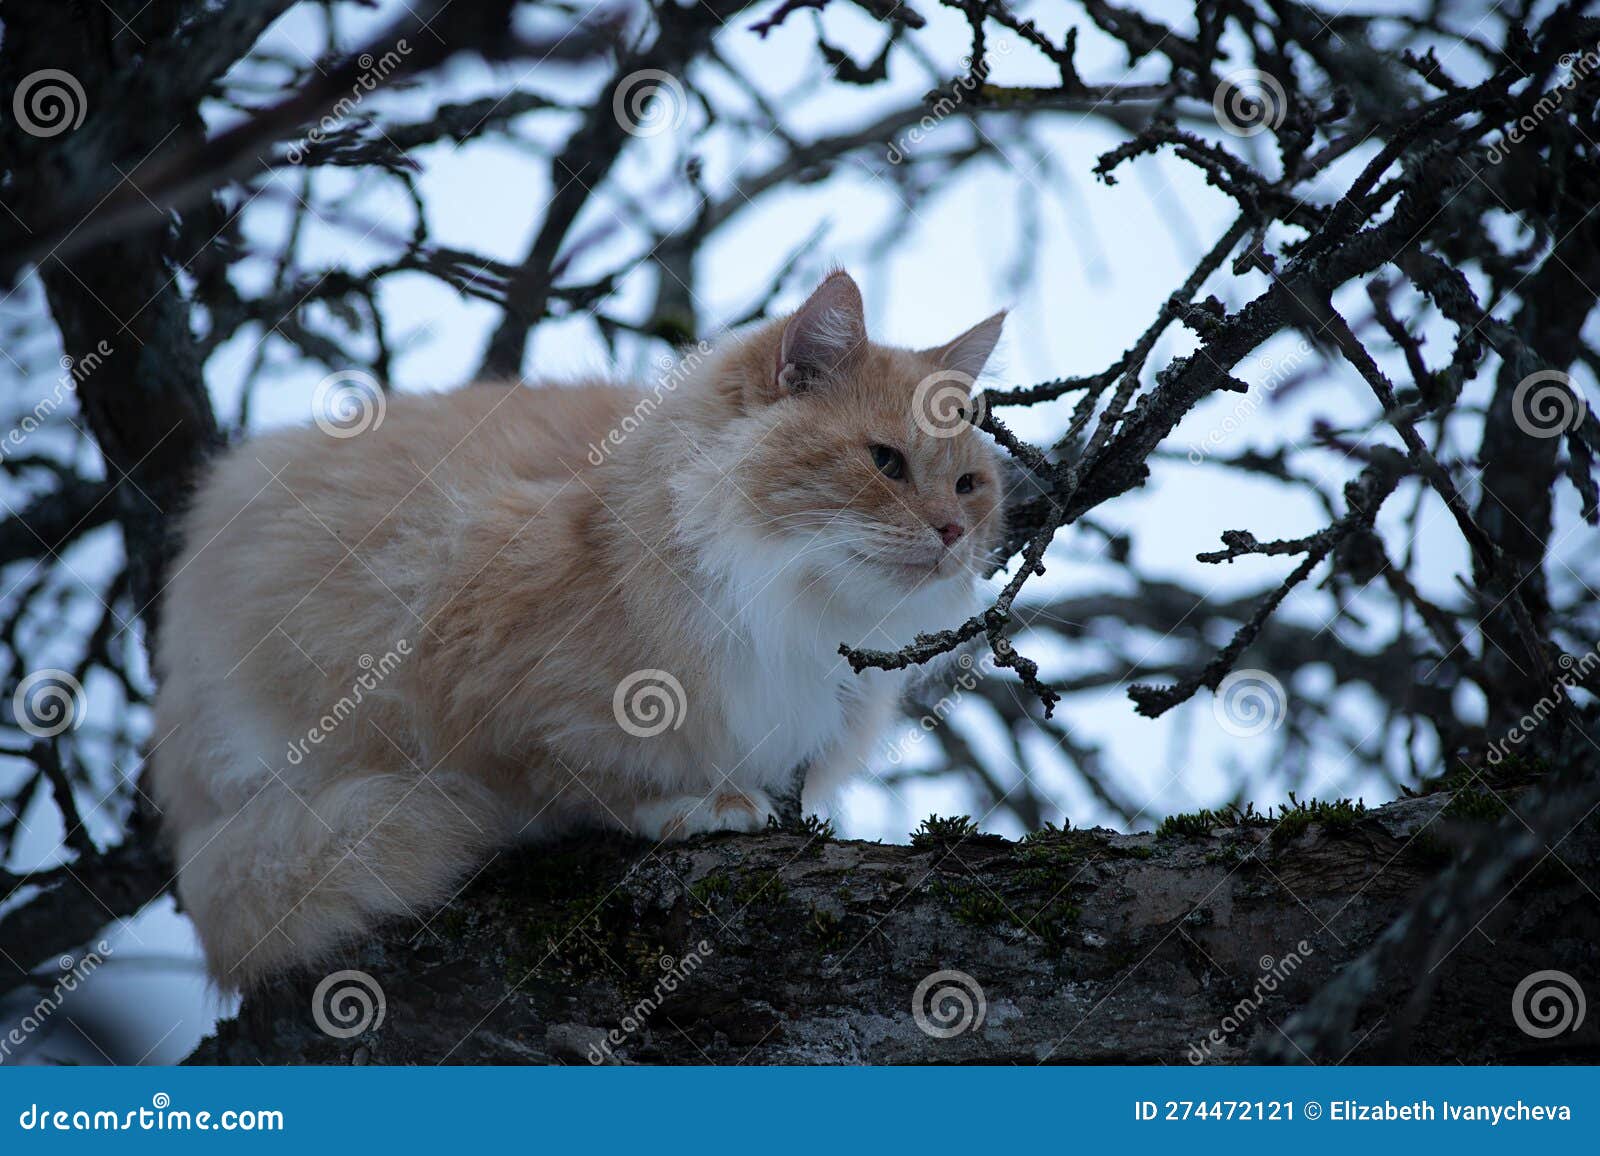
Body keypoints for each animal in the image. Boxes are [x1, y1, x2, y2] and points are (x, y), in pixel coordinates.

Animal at [147, 267, 998, 979]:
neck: (788, 609)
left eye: (968, 484)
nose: (954, 532)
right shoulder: (461, 640)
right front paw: (695, 804)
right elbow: (574, 778)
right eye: (885, 463)